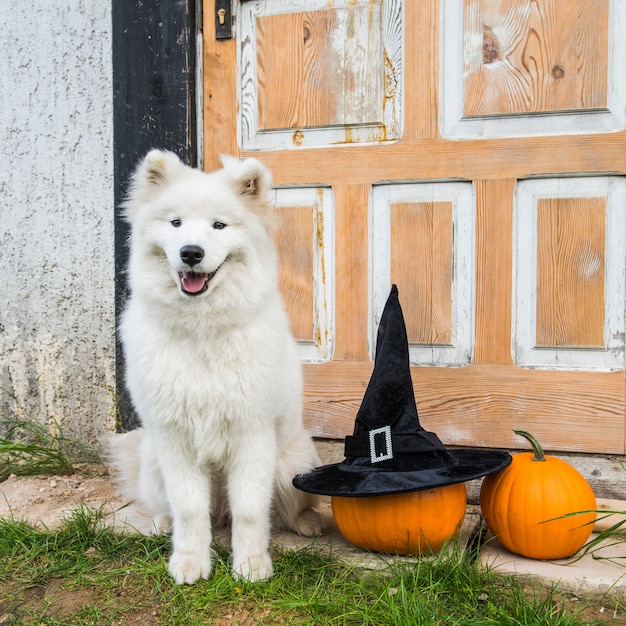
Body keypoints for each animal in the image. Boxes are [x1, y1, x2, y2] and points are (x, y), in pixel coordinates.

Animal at [107, 149, 320, 584]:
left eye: (219, 225)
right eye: (175, 223)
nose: (191, 252)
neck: (201, 330)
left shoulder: (252, 435)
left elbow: (251, 511)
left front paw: (251, 565)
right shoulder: (175, 439)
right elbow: (189, 508)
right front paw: (190, 562)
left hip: (293, 466)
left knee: (286, 508)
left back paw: (307, 523)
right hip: (154, 463)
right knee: (174, 507)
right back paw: (162, 523)